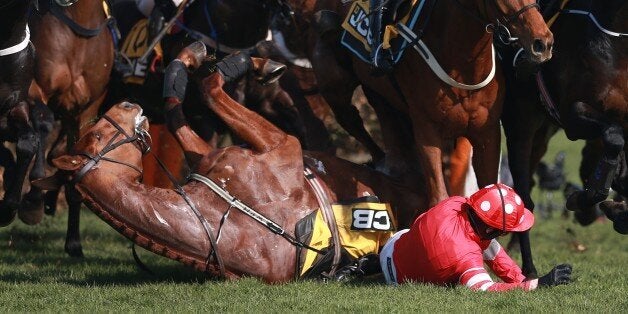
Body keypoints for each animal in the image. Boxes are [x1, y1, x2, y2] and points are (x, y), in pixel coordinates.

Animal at [36, 48, 424, 282]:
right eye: (98, 136)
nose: (125, 103)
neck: (229, 212)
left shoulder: (212, 152)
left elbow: (177, 103)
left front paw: (191, 62)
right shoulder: (281, 145)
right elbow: (209, 89)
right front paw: (240, 63)